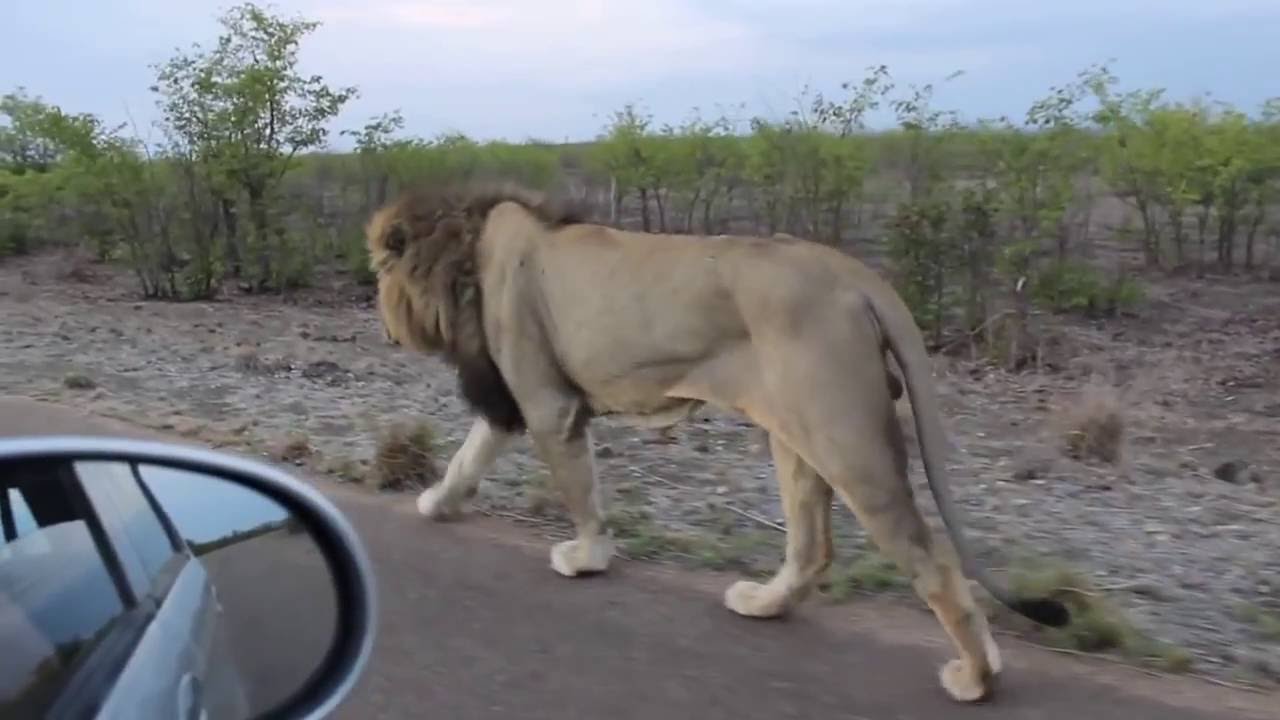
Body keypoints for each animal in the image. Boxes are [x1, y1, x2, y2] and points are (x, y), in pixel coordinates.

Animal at [365, 183, 1070, 703]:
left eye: (380, 276)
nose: (384, 327)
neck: (465, 253)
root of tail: (848, 272)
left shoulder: (547, 402)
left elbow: (577, 489)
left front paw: (586, 558)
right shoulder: (512, 400)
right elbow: (467, 456)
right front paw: (435, 503)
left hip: (847, 436)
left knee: (933, 561)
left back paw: (976, 677)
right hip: (795, 432)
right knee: (813, 546)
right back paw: (764, 604)